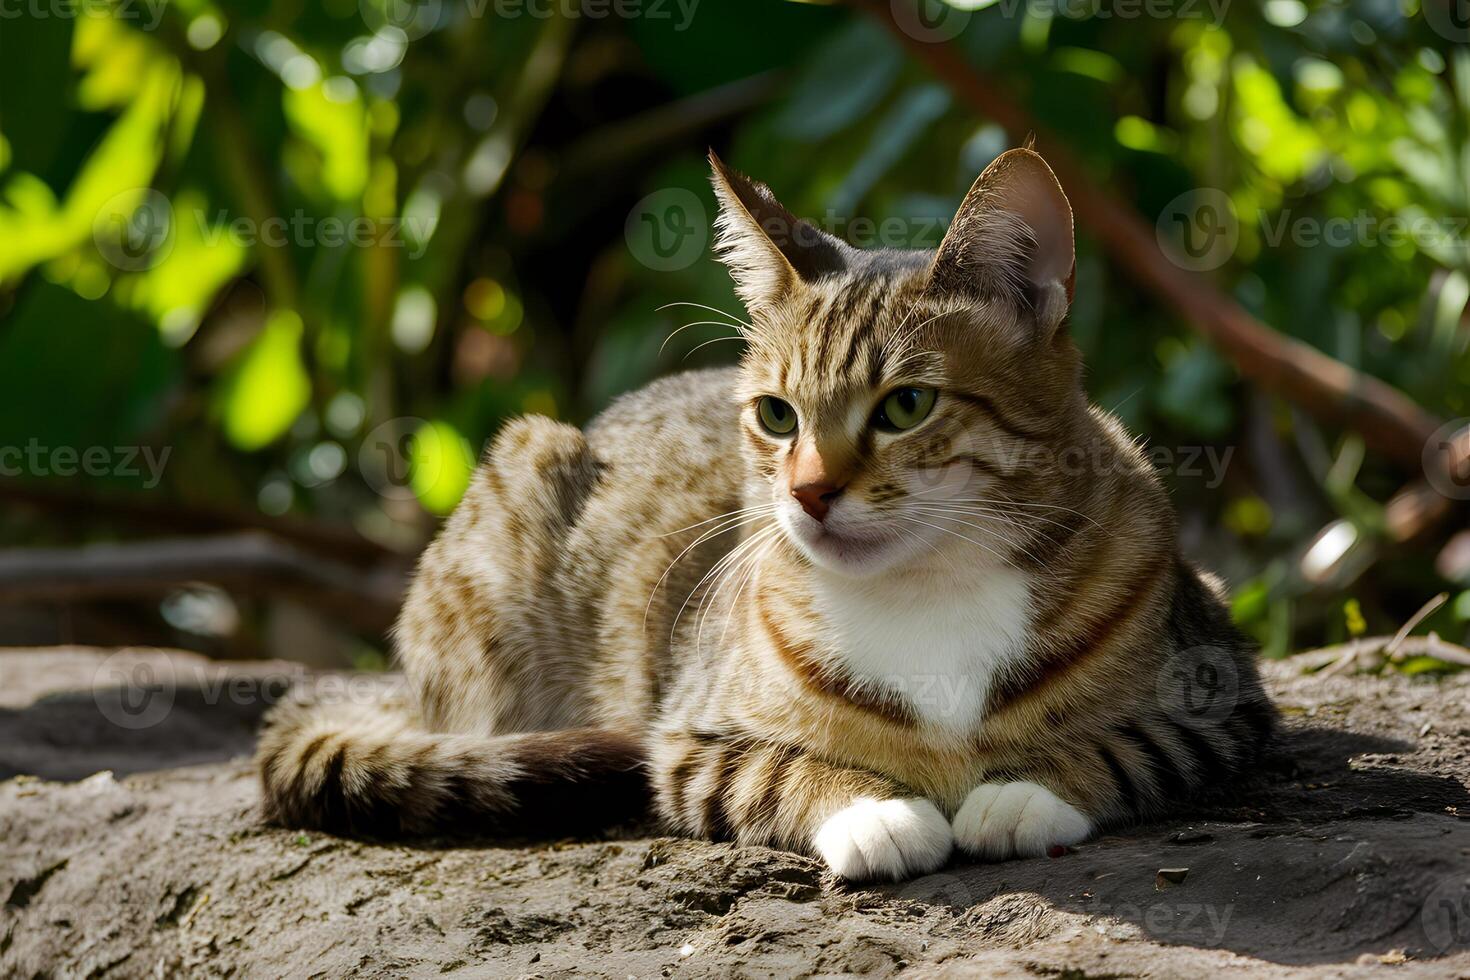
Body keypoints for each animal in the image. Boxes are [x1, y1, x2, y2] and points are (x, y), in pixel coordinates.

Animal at [261, 147, 1275, 881]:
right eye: (776, 415)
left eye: (907, 406)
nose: (808, 492)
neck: (929, 588)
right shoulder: (687, 734)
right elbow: (769, 767)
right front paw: (875, 811)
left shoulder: (1221, 695)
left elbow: (1124, 743)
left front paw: (1021, 791)